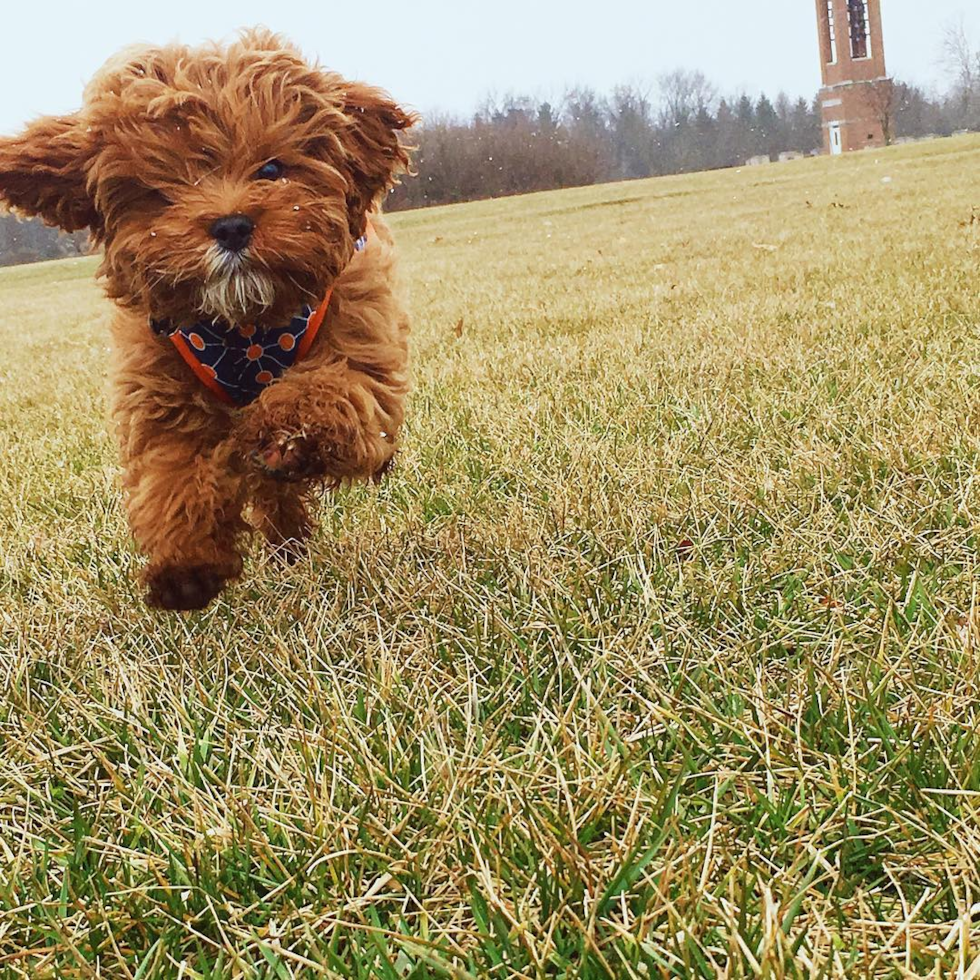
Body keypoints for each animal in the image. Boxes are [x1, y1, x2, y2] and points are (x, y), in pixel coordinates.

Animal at [0, 30, 418, 608]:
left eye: (272, 169)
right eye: (160, 192)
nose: (231, 225)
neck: (246, 326)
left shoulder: (361, 342)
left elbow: (329, 391)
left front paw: (284, 428)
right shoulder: (158, 388)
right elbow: (172, 473)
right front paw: (185, 567)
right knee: (273, 497)